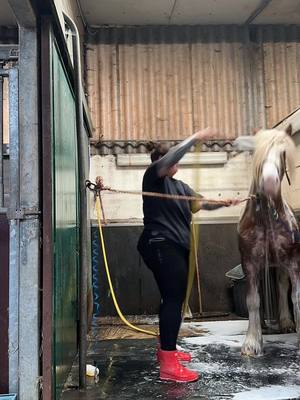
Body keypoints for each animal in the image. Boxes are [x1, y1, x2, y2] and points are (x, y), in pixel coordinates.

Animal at [238, 126, 298, 356]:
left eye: (283, 153)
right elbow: (253, 300)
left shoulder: (293, 262)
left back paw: (286, 322)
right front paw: (252, 343)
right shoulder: (250, 263)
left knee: (282, 285)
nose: (270, 184)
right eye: (258, 154)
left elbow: (295, 296)